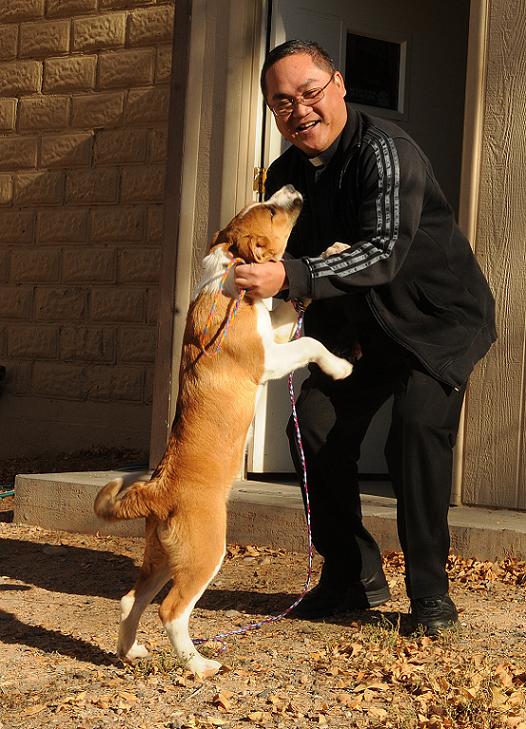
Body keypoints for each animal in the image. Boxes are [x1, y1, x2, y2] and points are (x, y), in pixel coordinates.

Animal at [94, 185, 354, 680]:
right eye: (270, 210)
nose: (290, 188)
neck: (229, 274)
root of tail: (157, 491)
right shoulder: (267, 360)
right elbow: (311, 343)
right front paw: (341, 366)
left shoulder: (274, 332)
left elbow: (292, 307)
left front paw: (334, 252)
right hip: (204, 553)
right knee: (170, 611)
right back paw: (198, 664)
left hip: (163, 556)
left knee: (130, 601)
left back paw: (131, 652)